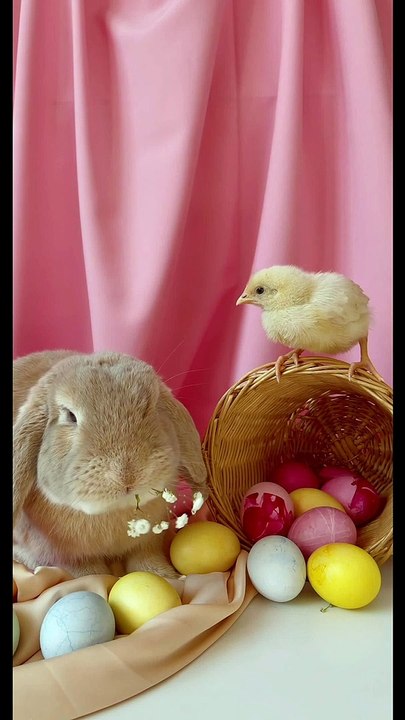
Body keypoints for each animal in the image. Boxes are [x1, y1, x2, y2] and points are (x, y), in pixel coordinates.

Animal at [13, 349, 208, 578]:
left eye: (151, 406)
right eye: (70, 416)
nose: (127, 474)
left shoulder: (147, 544)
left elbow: (146, 559)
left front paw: (166, 576)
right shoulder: (66, 557)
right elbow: (88, 573)